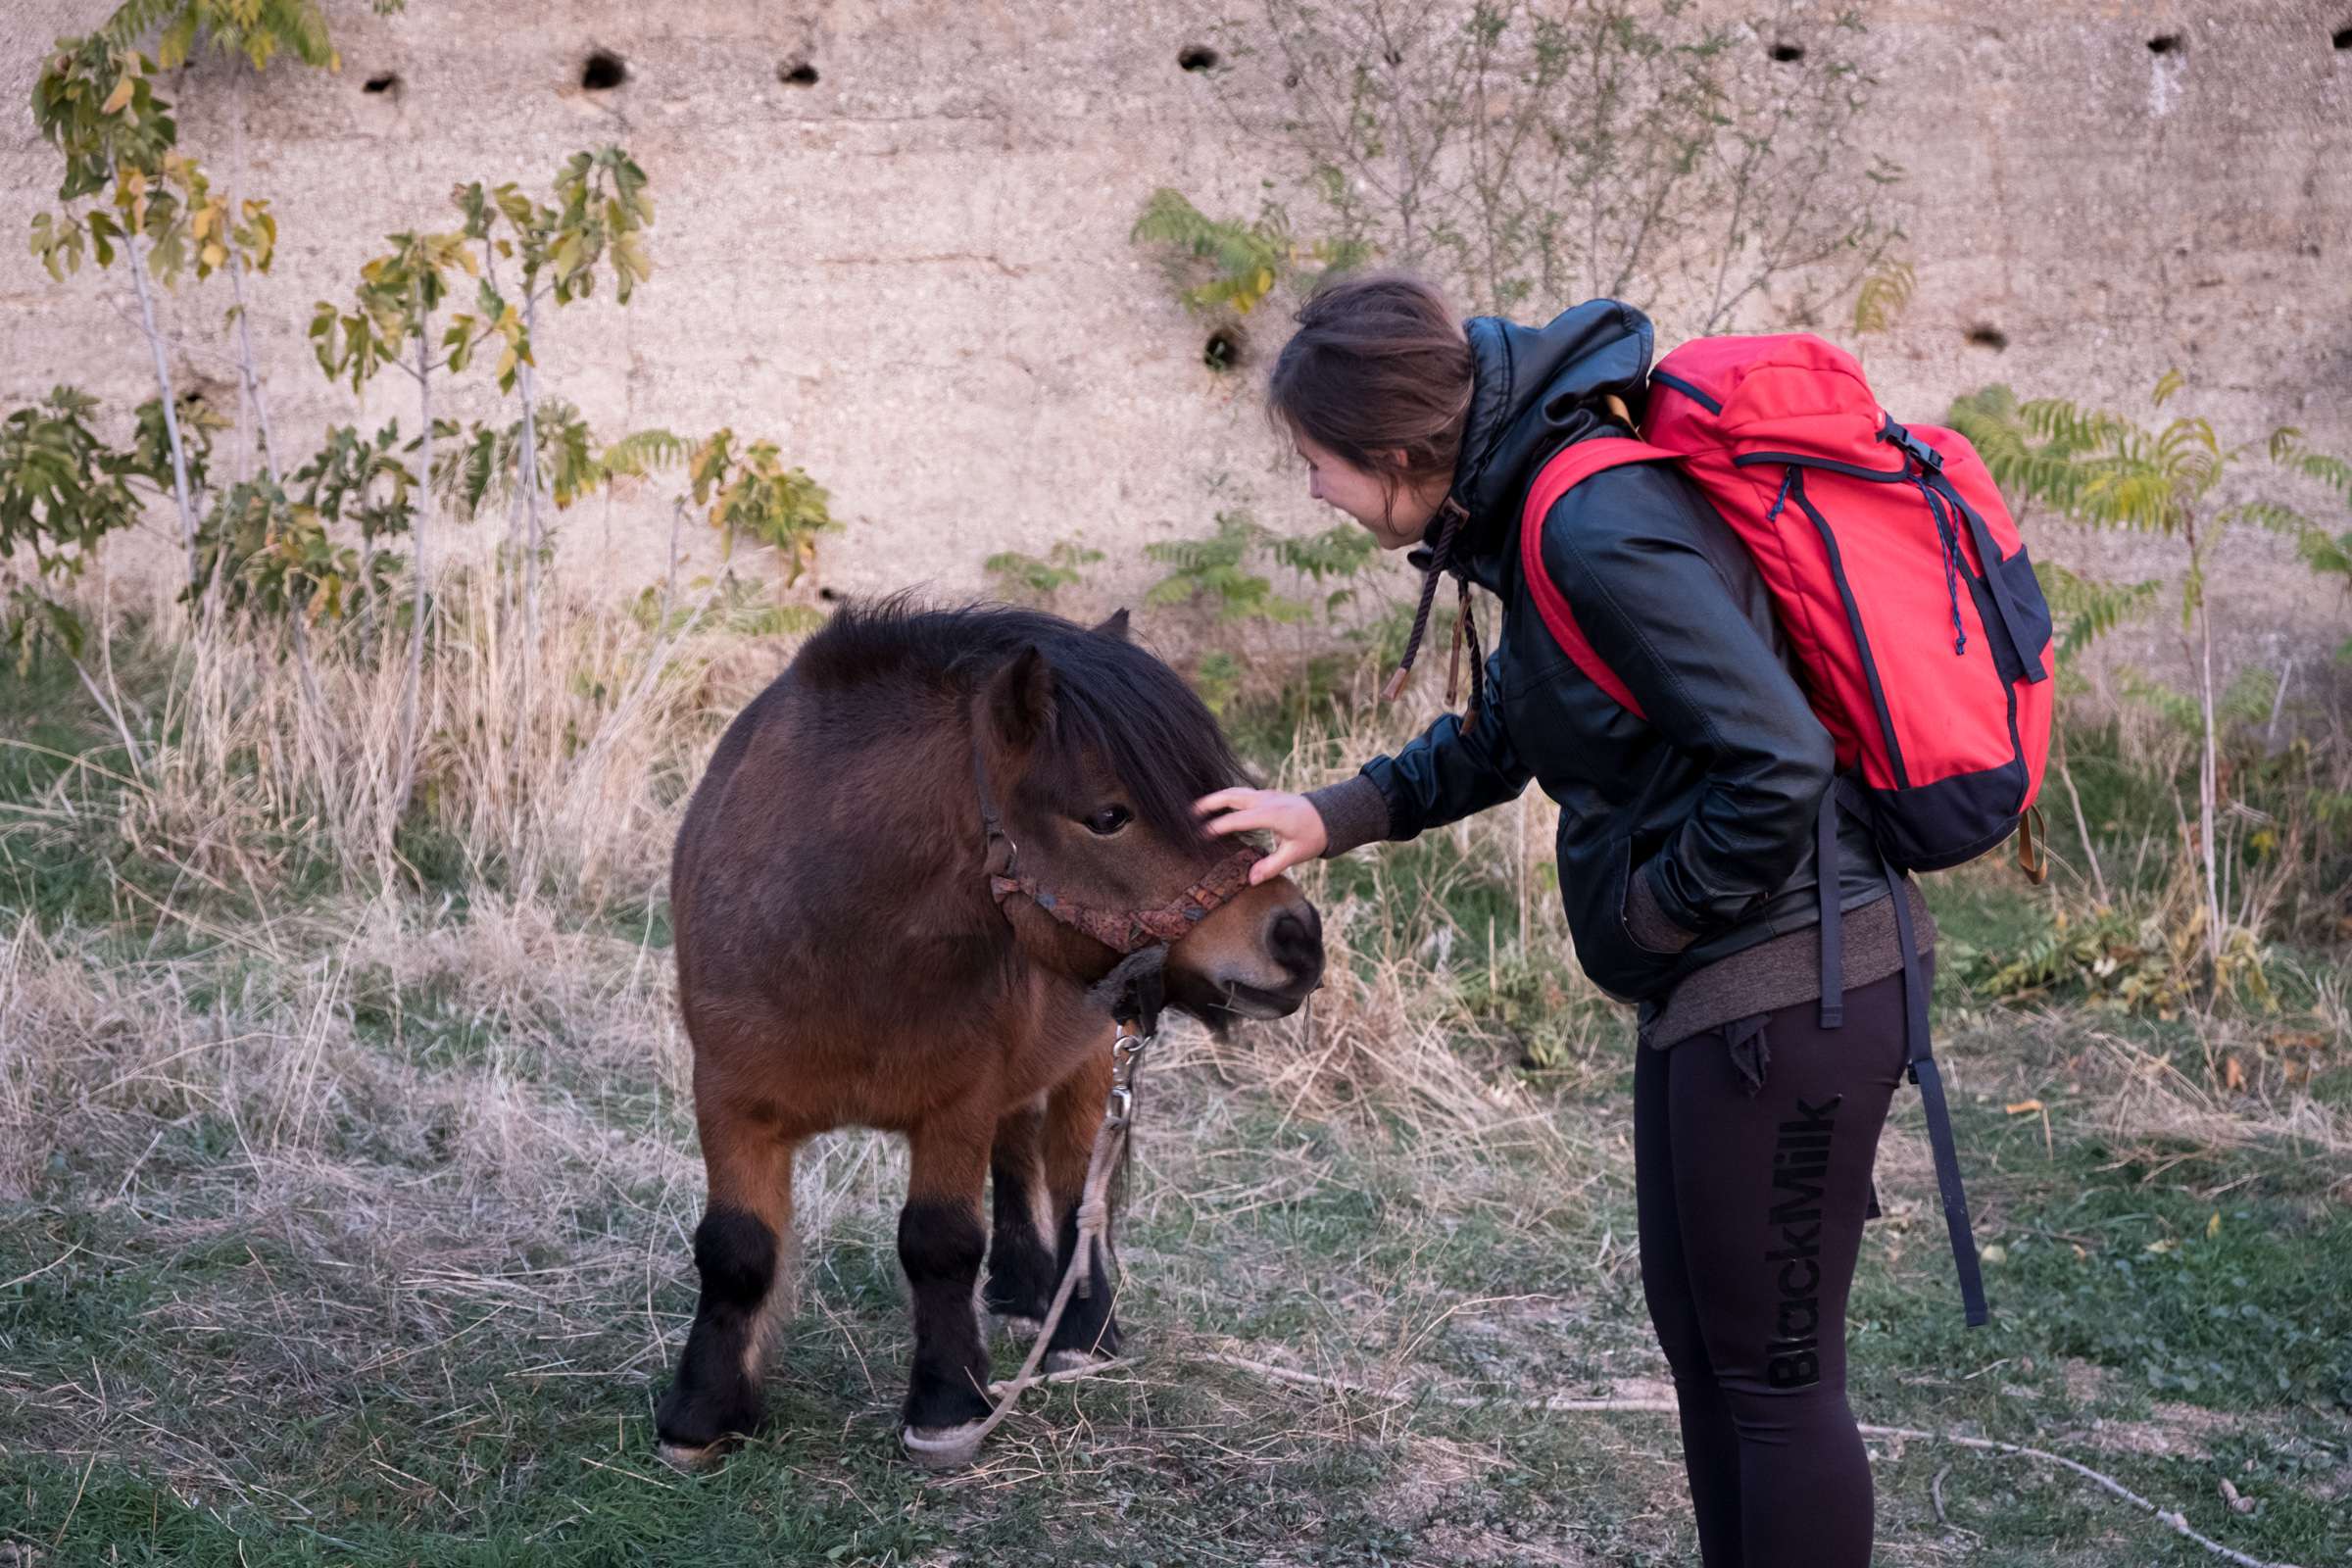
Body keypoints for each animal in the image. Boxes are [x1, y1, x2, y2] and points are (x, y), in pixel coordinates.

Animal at [654, 597, 1326, 1476]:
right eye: (1108, 816)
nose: (1298, 939)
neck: (834, 940)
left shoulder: (955, 1107)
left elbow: (938, 1242)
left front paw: (945, 1405)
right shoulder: (730, 1102)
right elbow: (735, 1250)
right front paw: (701, 1413)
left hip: (1090, 1066)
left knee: (1076, 1192)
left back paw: (1080, 1331)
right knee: (1018, 1156)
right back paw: (1019, 1291)